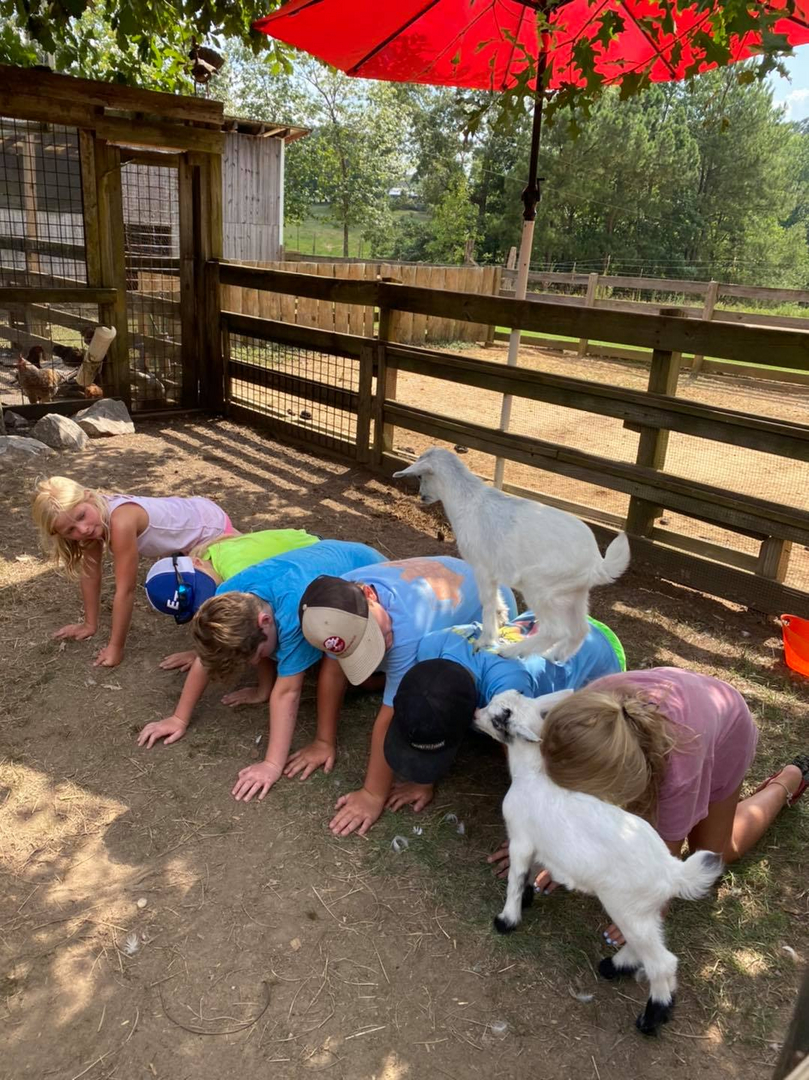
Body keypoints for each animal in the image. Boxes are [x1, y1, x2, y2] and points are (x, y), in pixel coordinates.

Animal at [393, 448, 629, 663]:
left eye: (420, 476)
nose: (422, 496)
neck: (467, 500)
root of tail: (596, 564)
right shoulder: (493, 571)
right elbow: (496, 597)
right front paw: (502, 616)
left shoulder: (482, 568)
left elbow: (486, 600)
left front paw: (485, 640)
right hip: (575, 594)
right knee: (580, 630)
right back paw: (555, 656)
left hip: (539, 586)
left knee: (556, 630)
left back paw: (512, 652)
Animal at [474, 689, 724, 1036]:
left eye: (499, 718)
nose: (475, 714)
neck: (533, 777)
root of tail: (673, 871)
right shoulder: (540, 844)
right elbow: (532, 872)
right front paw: (528, 898)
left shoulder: (521, 839)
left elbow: (515, 878)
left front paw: (507, 920)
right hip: (641, 911)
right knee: (649, 942)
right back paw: (615, 965)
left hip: (628, 907)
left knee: (663, 963)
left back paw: (652, 1017)